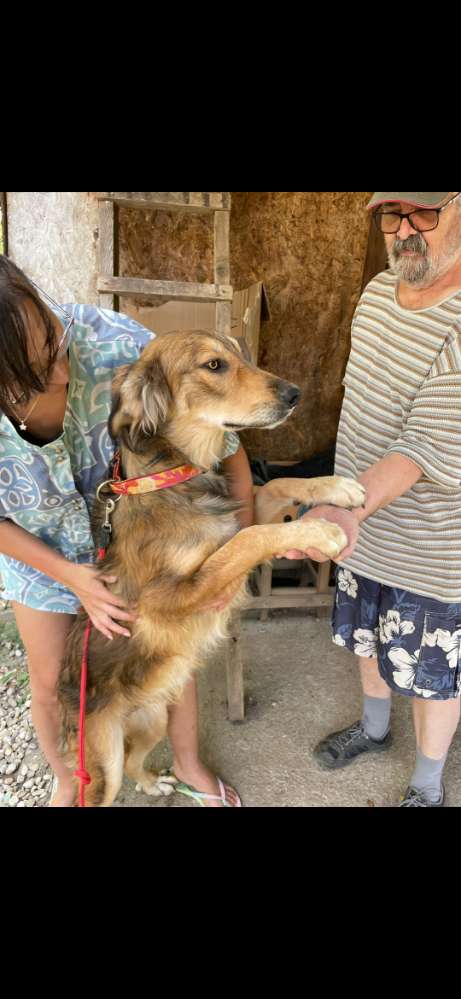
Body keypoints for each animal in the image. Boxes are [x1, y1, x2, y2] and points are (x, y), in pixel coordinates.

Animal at [57, 330, 364, 804]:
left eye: (241, 354)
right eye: (214, 365)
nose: (295, 395)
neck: (172, 478)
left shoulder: (244, 512)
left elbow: (277, 485)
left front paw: (337, 486)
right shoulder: (166, 599)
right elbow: (247, 541)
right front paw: (320, 531)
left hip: (154, 718)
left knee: (135, 763)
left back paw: (156, 782)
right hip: (102, 765)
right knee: (112, 778)